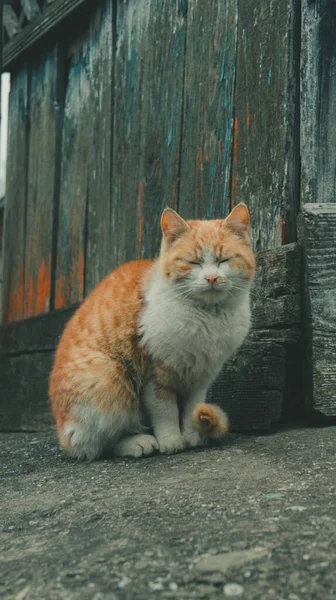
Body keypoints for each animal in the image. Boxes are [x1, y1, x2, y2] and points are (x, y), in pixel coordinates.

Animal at [49, 203, 255, 460]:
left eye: (223, 260)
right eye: (193, 262)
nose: (211, 278)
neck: (208, 318)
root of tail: (62, 434)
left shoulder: (201, 378)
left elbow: (191, 410)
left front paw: (192, 436)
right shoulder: (155, 375)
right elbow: (165, 412)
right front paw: (171, 440)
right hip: (109, 381)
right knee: (99, 444)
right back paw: (139, 442)